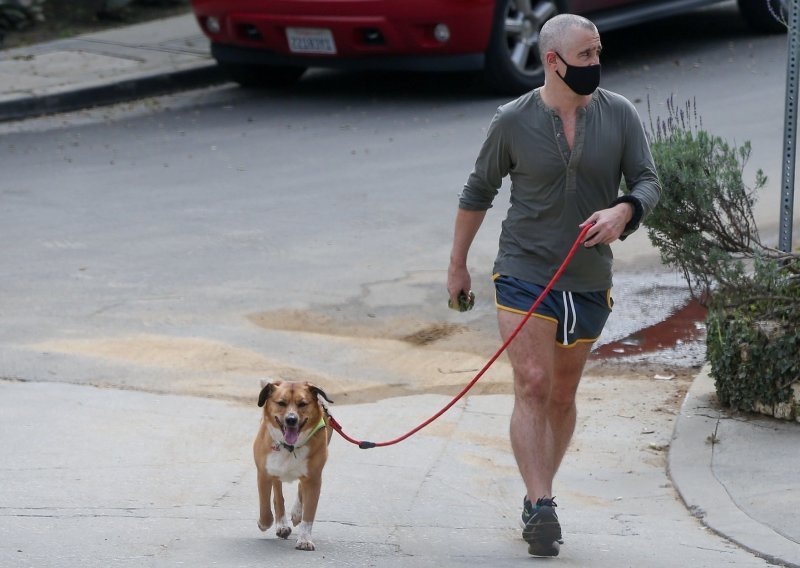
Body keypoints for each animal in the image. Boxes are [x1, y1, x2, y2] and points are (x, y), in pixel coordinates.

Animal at [255, 382, 332, 552]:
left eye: (302, 404)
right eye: (281, 403)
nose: (291, 419)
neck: (290, 447)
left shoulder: (314, 478)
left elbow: (309, 514)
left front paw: (304, 540)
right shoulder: (264, 473)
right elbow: (265, 506)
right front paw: (264, 523)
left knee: (300, 490)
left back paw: (296, 513)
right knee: (278, 495)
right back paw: (282, 524)